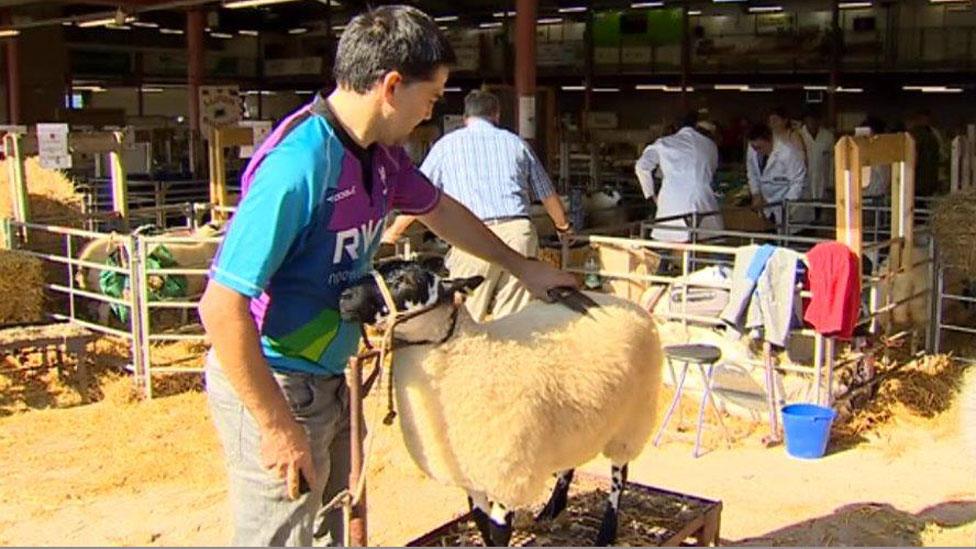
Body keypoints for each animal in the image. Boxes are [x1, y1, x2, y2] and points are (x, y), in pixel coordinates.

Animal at [338, 260, 664, 544]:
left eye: (405, 281)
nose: (344, 297)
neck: (472, 352)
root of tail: (629, 304)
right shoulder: (471, 477)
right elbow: (481, 525)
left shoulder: (508, 476)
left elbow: (498, 533)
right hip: (577, 424)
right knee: (568, 466)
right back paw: (552, 509)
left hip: (633, 419)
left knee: (619, 475)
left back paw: (607, 532)